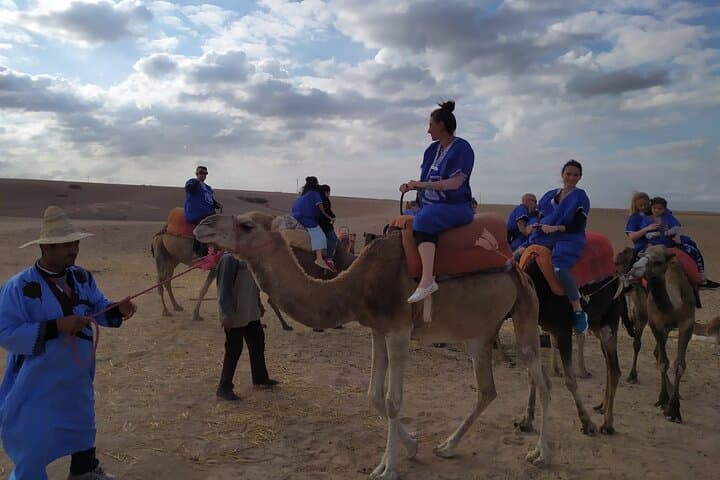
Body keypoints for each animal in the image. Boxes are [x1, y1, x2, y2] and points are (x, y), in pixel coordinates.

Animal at [194, 212, 551, 480]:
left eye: (247, 225)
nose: (203, 224)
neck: (355, 285)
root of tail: (518, 270)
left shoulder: (399, 330)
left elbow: (393, 400)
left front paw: (388, 468)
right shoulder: (378, 331)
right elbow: (374, 396)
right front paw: (413, 445)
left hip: (524, 314)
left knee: (541, 378)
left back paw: (540, 454)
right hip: (478, 333)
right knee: (487, 389)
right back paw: (448, 447)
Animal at [520, 262, 622, 435]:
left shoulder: (563, 330)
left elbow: (570, 380)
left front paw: (587, 423)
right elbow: (531, 374)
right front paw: (526, 420)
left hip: (610, 323)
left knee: (614, 370)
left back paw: (607, 423)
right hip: (597, 326)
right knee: (609, 367)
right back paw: (602, 407)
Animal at [627, 245, 696, 422]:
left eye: (658, 261)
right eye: (641, 255)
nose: (634, 270)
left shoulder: (687, 323)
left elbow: (679, 365)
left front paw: (674, 407)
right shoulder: (655, 324)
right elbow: (663, 363)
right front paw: (665, 401)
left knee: (657, 351)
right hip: (640, 314)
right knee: (638, 344)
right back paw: (632, 375)